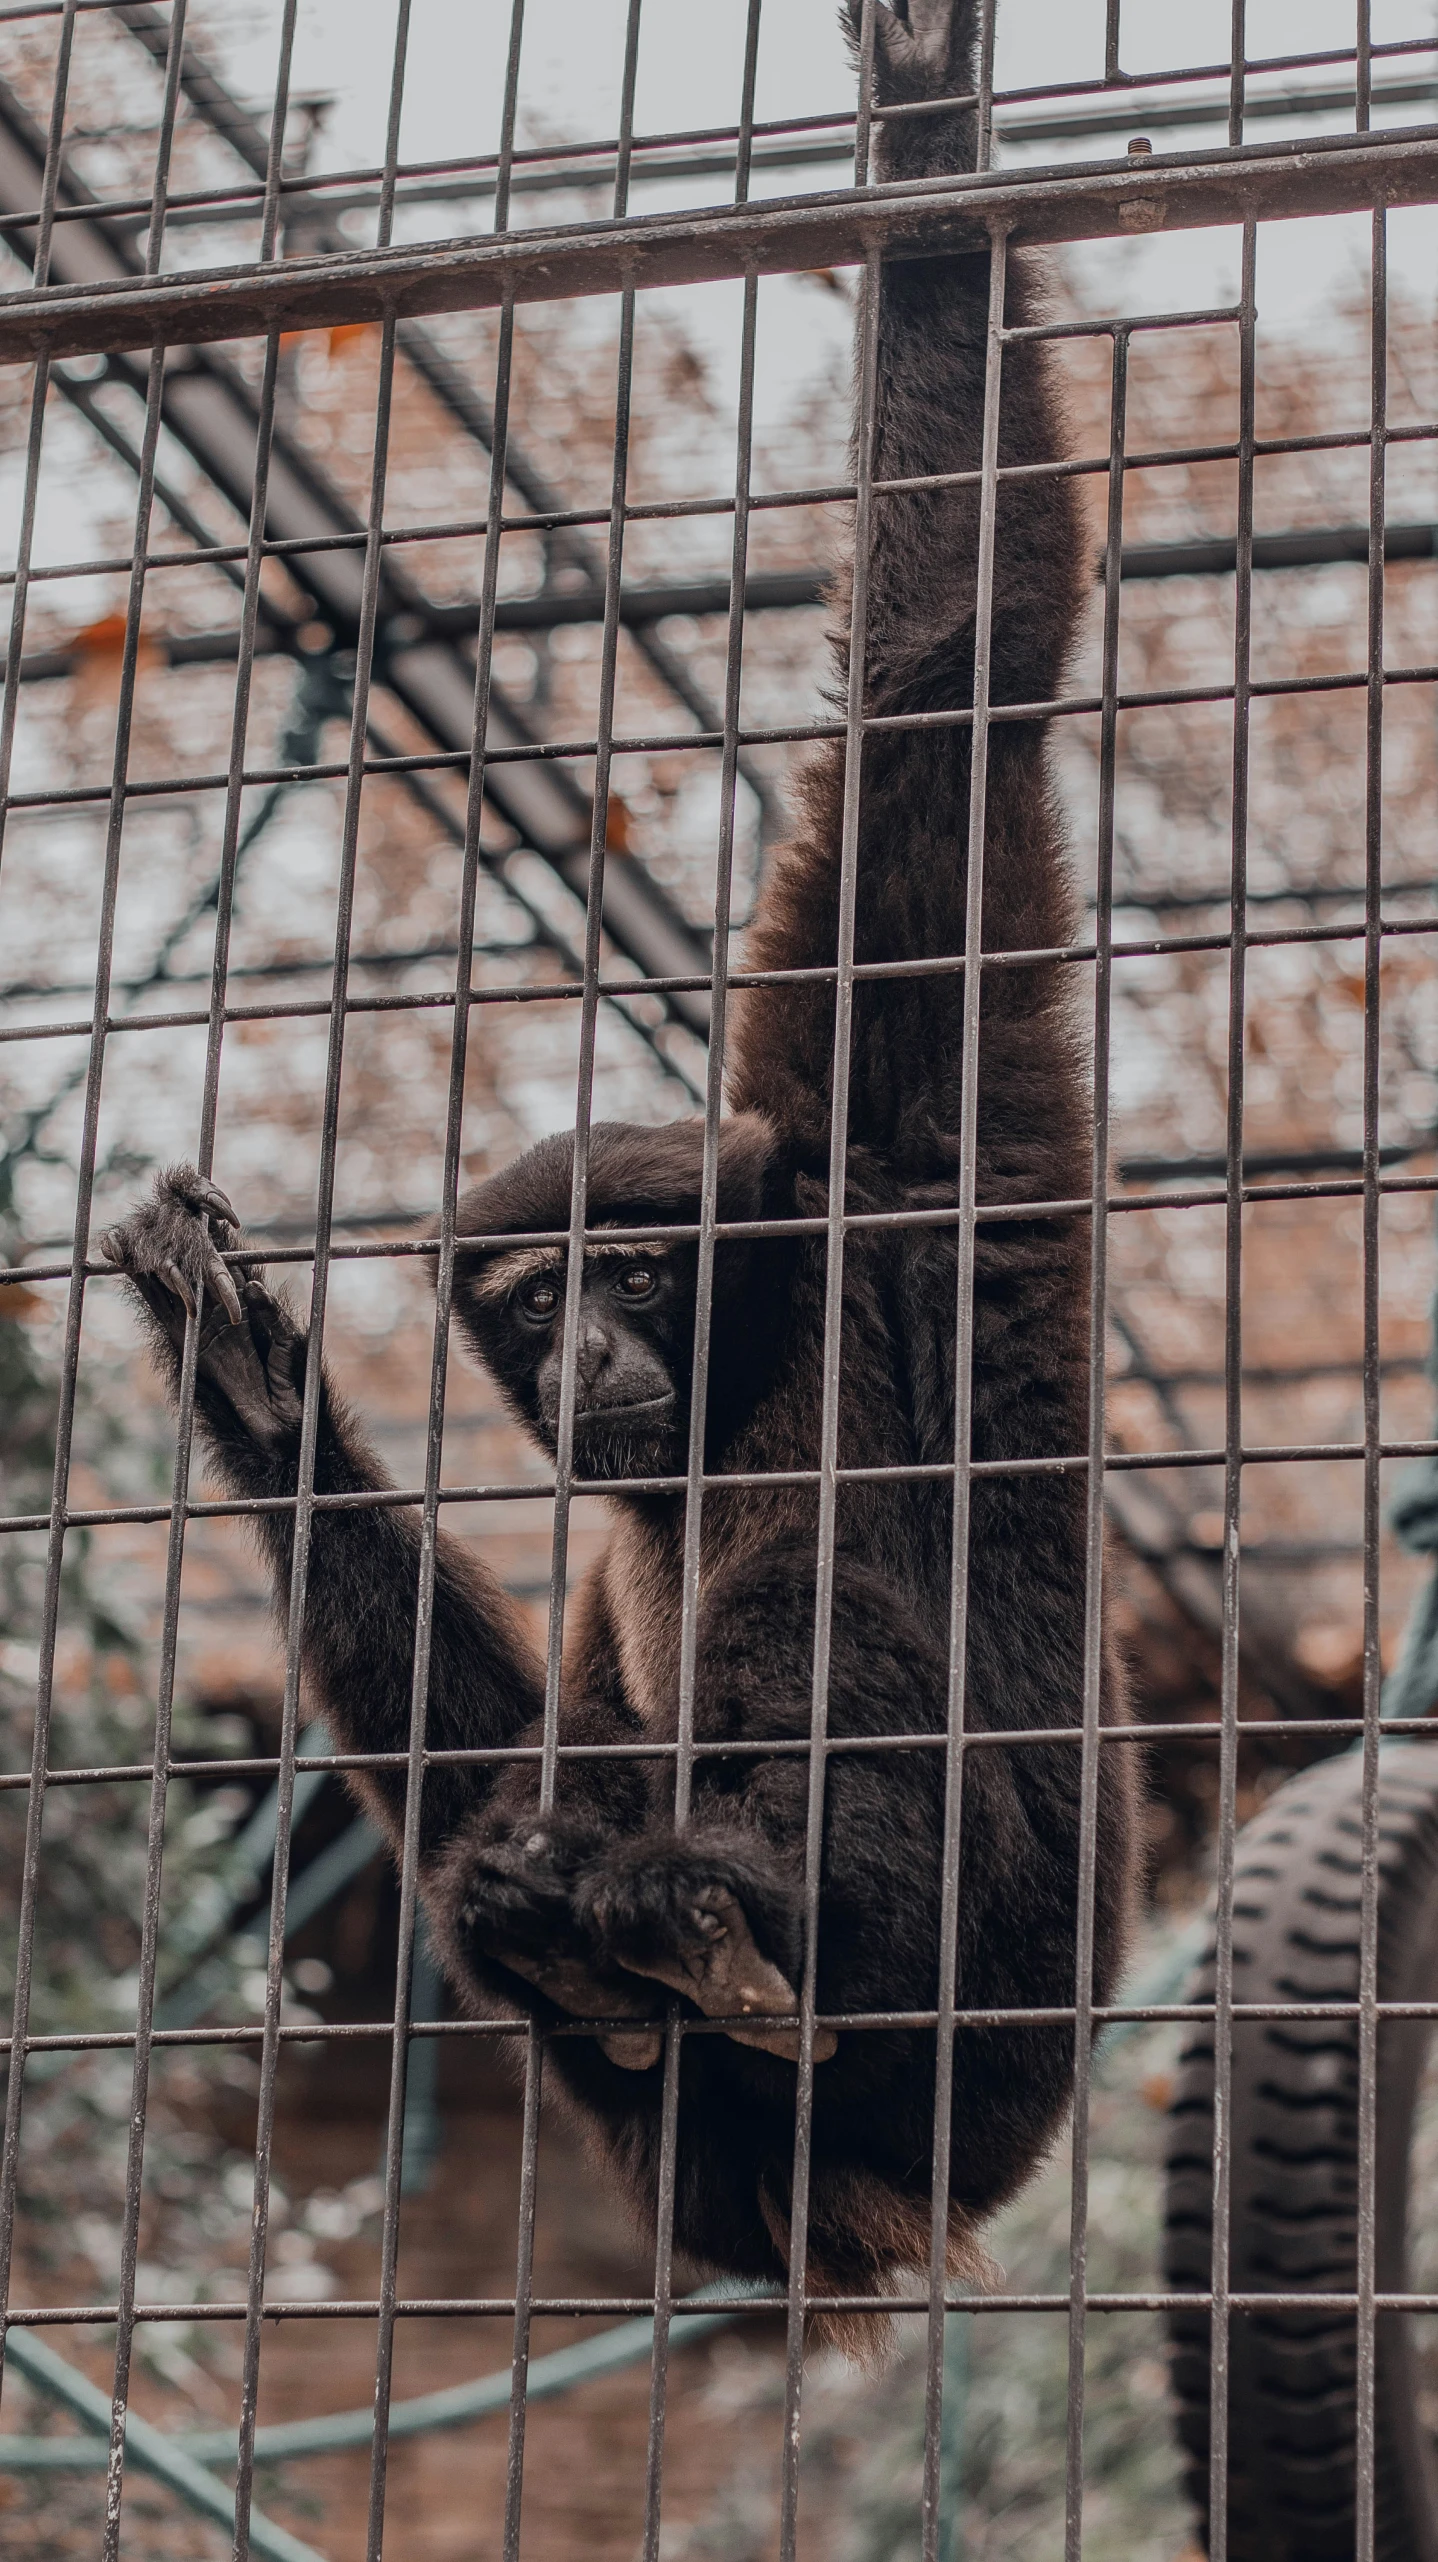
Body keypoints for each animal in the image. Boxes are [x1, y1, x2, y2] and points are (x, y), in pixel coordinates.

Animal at [101, 0, 1132, 2346]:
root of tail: (874, 2206)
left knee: (806, 1589)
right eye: (526, 1302)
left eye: (641, 1276)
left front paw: (919, 149)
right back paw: (592, 1939)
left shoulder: (877, 1180)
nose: (586, 1353)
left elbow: (944, 684)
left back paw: (702, 1910)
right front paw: (252, 1376)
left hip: (976, 2009)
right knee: (522, 1852)